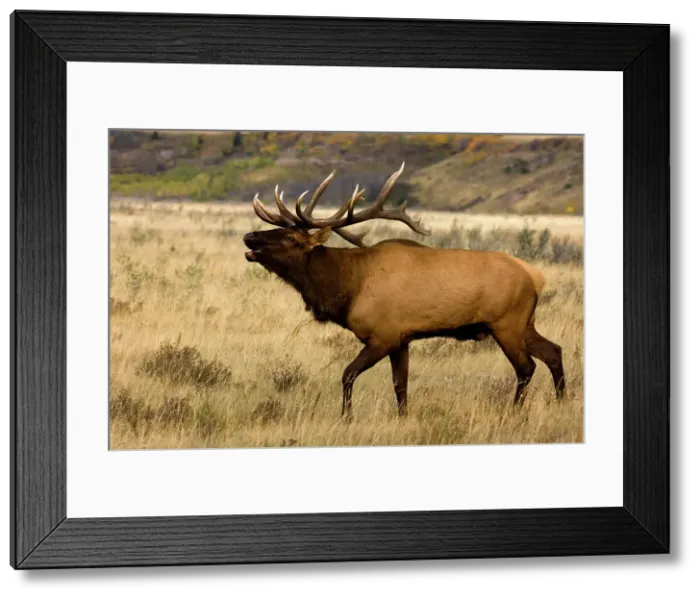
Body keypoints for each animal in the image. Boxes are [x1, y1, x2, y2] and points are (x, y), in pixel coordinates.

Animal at [243, 162, 566, 420]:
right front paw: (403, 417)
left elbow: (348, 374)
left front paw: (346, 417)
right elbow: (401, 385)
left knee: (526, 367)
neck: (347, 288)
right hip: (525, 323)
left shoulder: (382, 335)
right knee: (554, 352)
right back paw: (564, 401)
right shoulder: (402, 339)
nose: (249, 237)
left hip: (506, 323)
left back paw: (515, 411)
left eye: (291, 238)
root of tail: (536, 277)